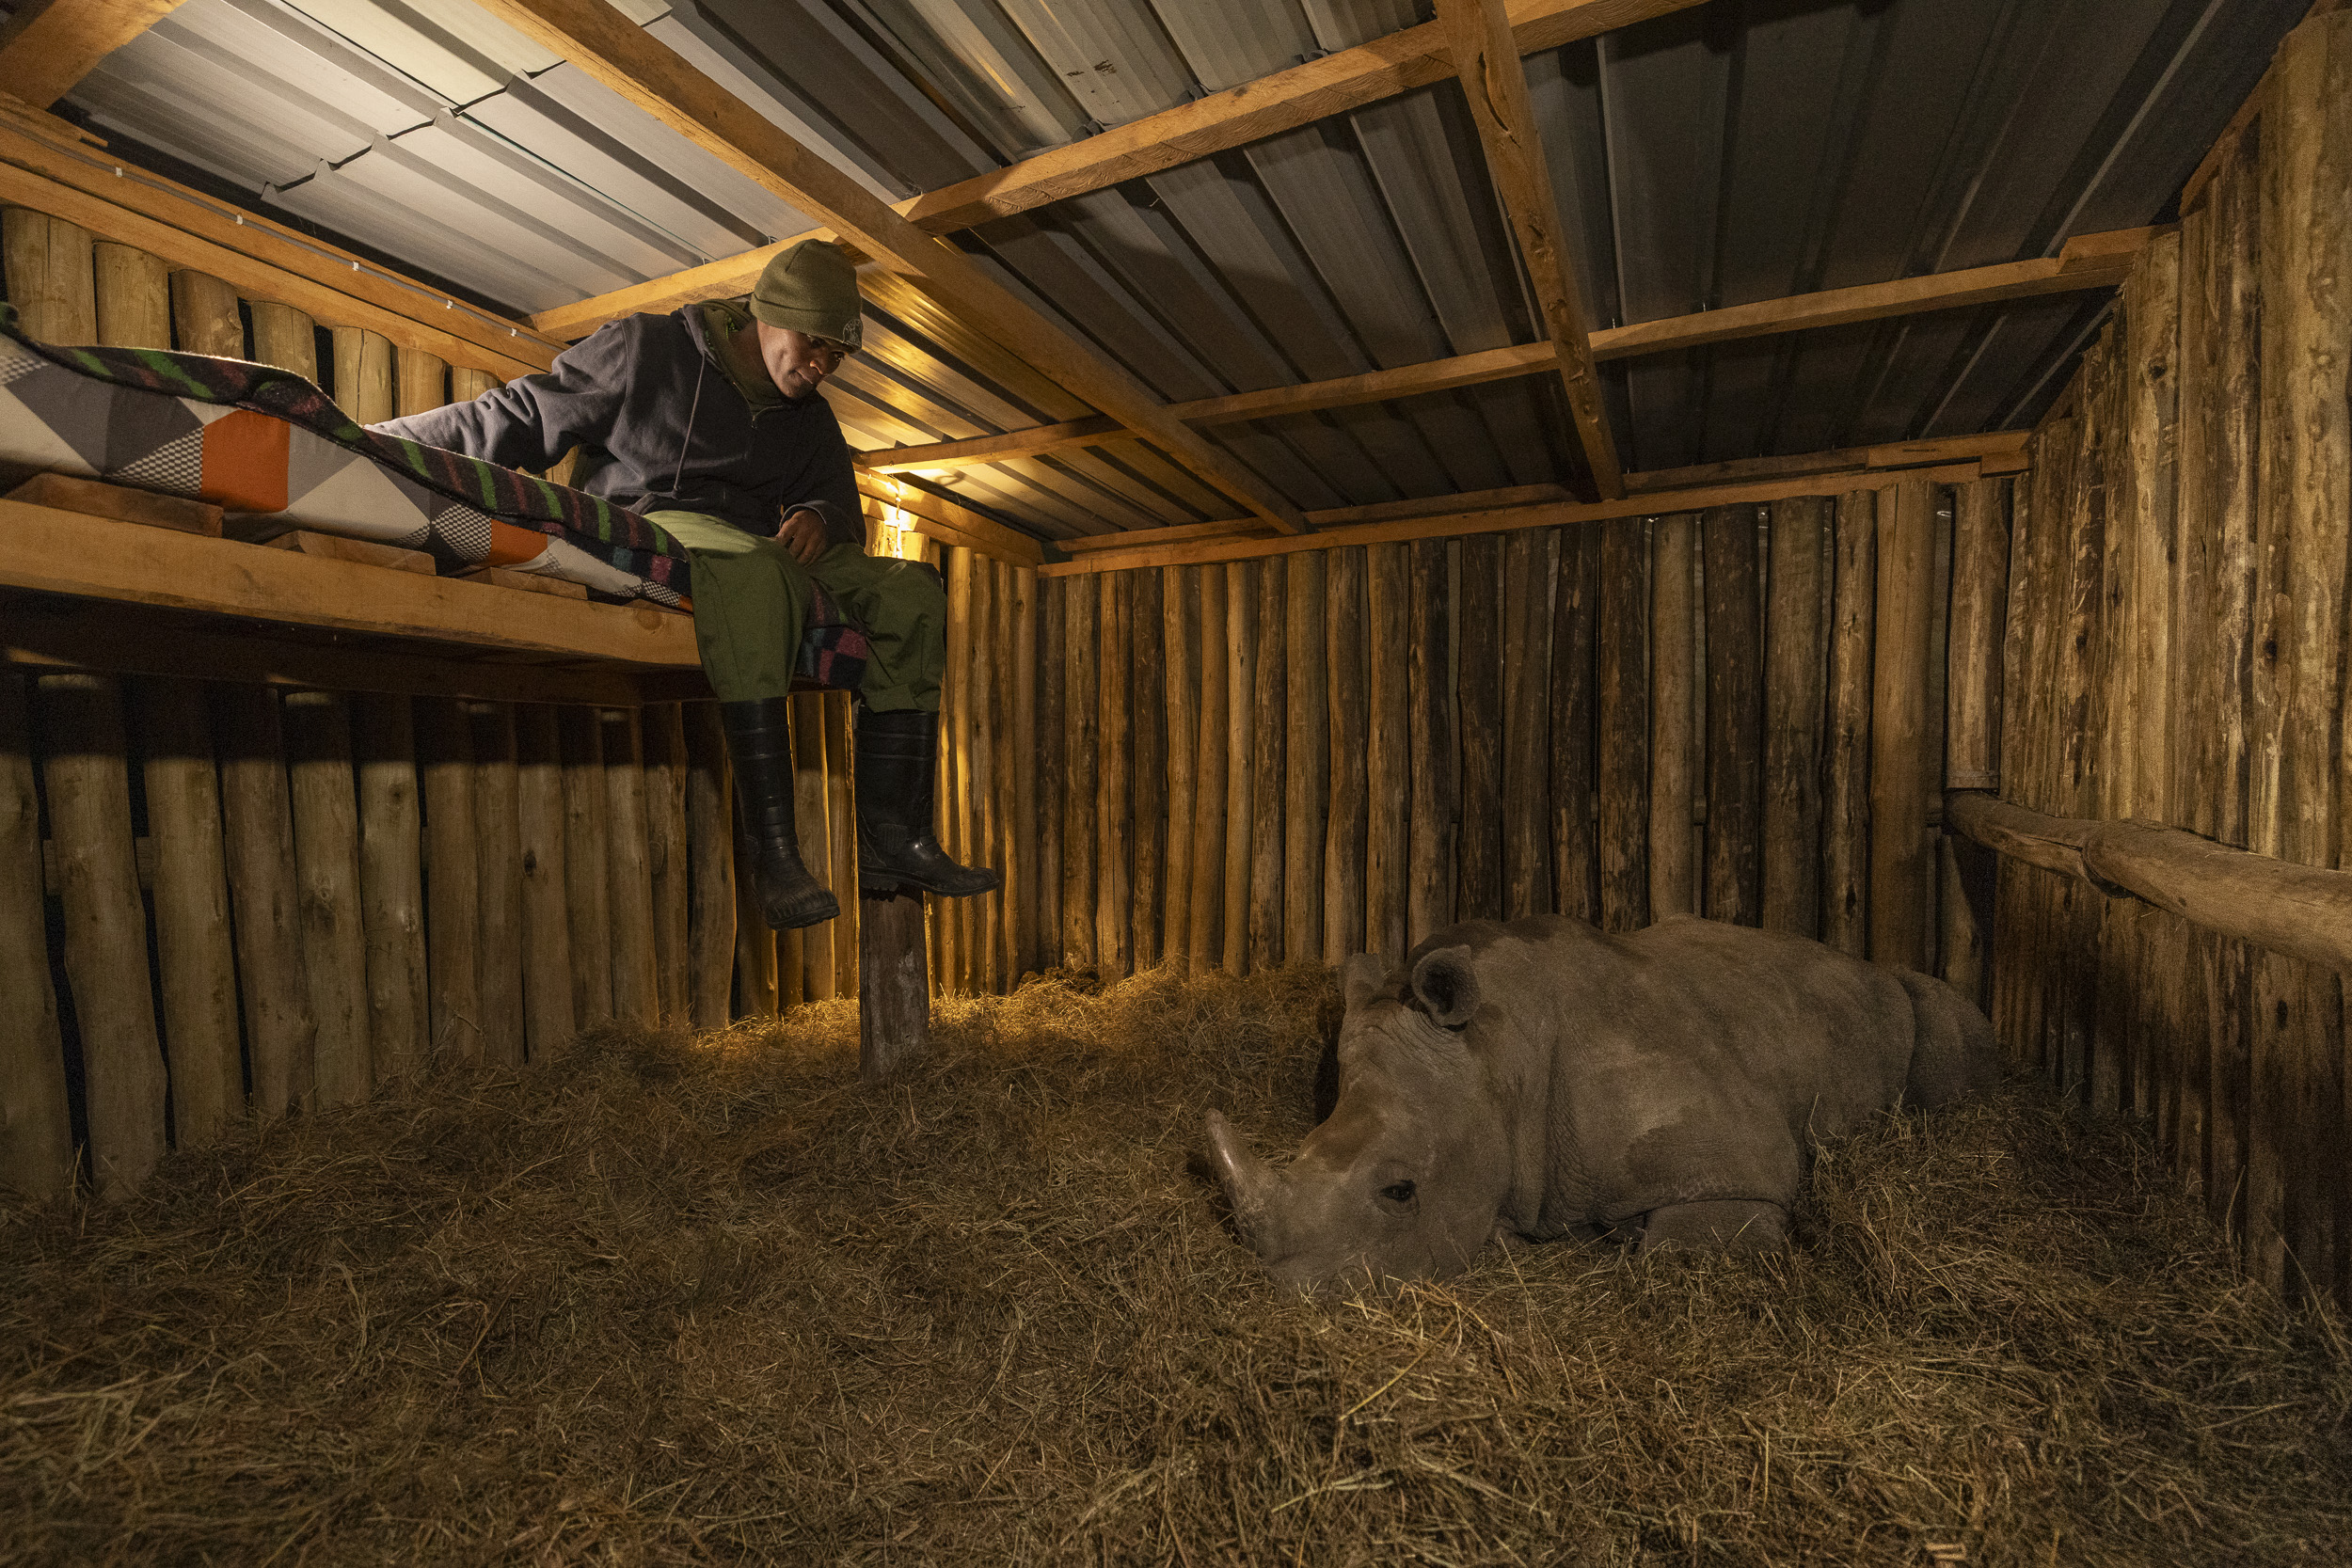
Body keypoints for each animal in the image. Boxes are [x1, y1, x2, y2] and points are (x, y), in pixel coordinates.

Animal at [1203, 914, 1998, 1291]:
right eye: (1296, 1151)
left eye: (1400, 1190)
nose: (1284, 1289)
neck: (1500, 1055)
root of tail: (1861, 960)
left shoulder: (1733, 1161)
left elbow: (1677, 1243)